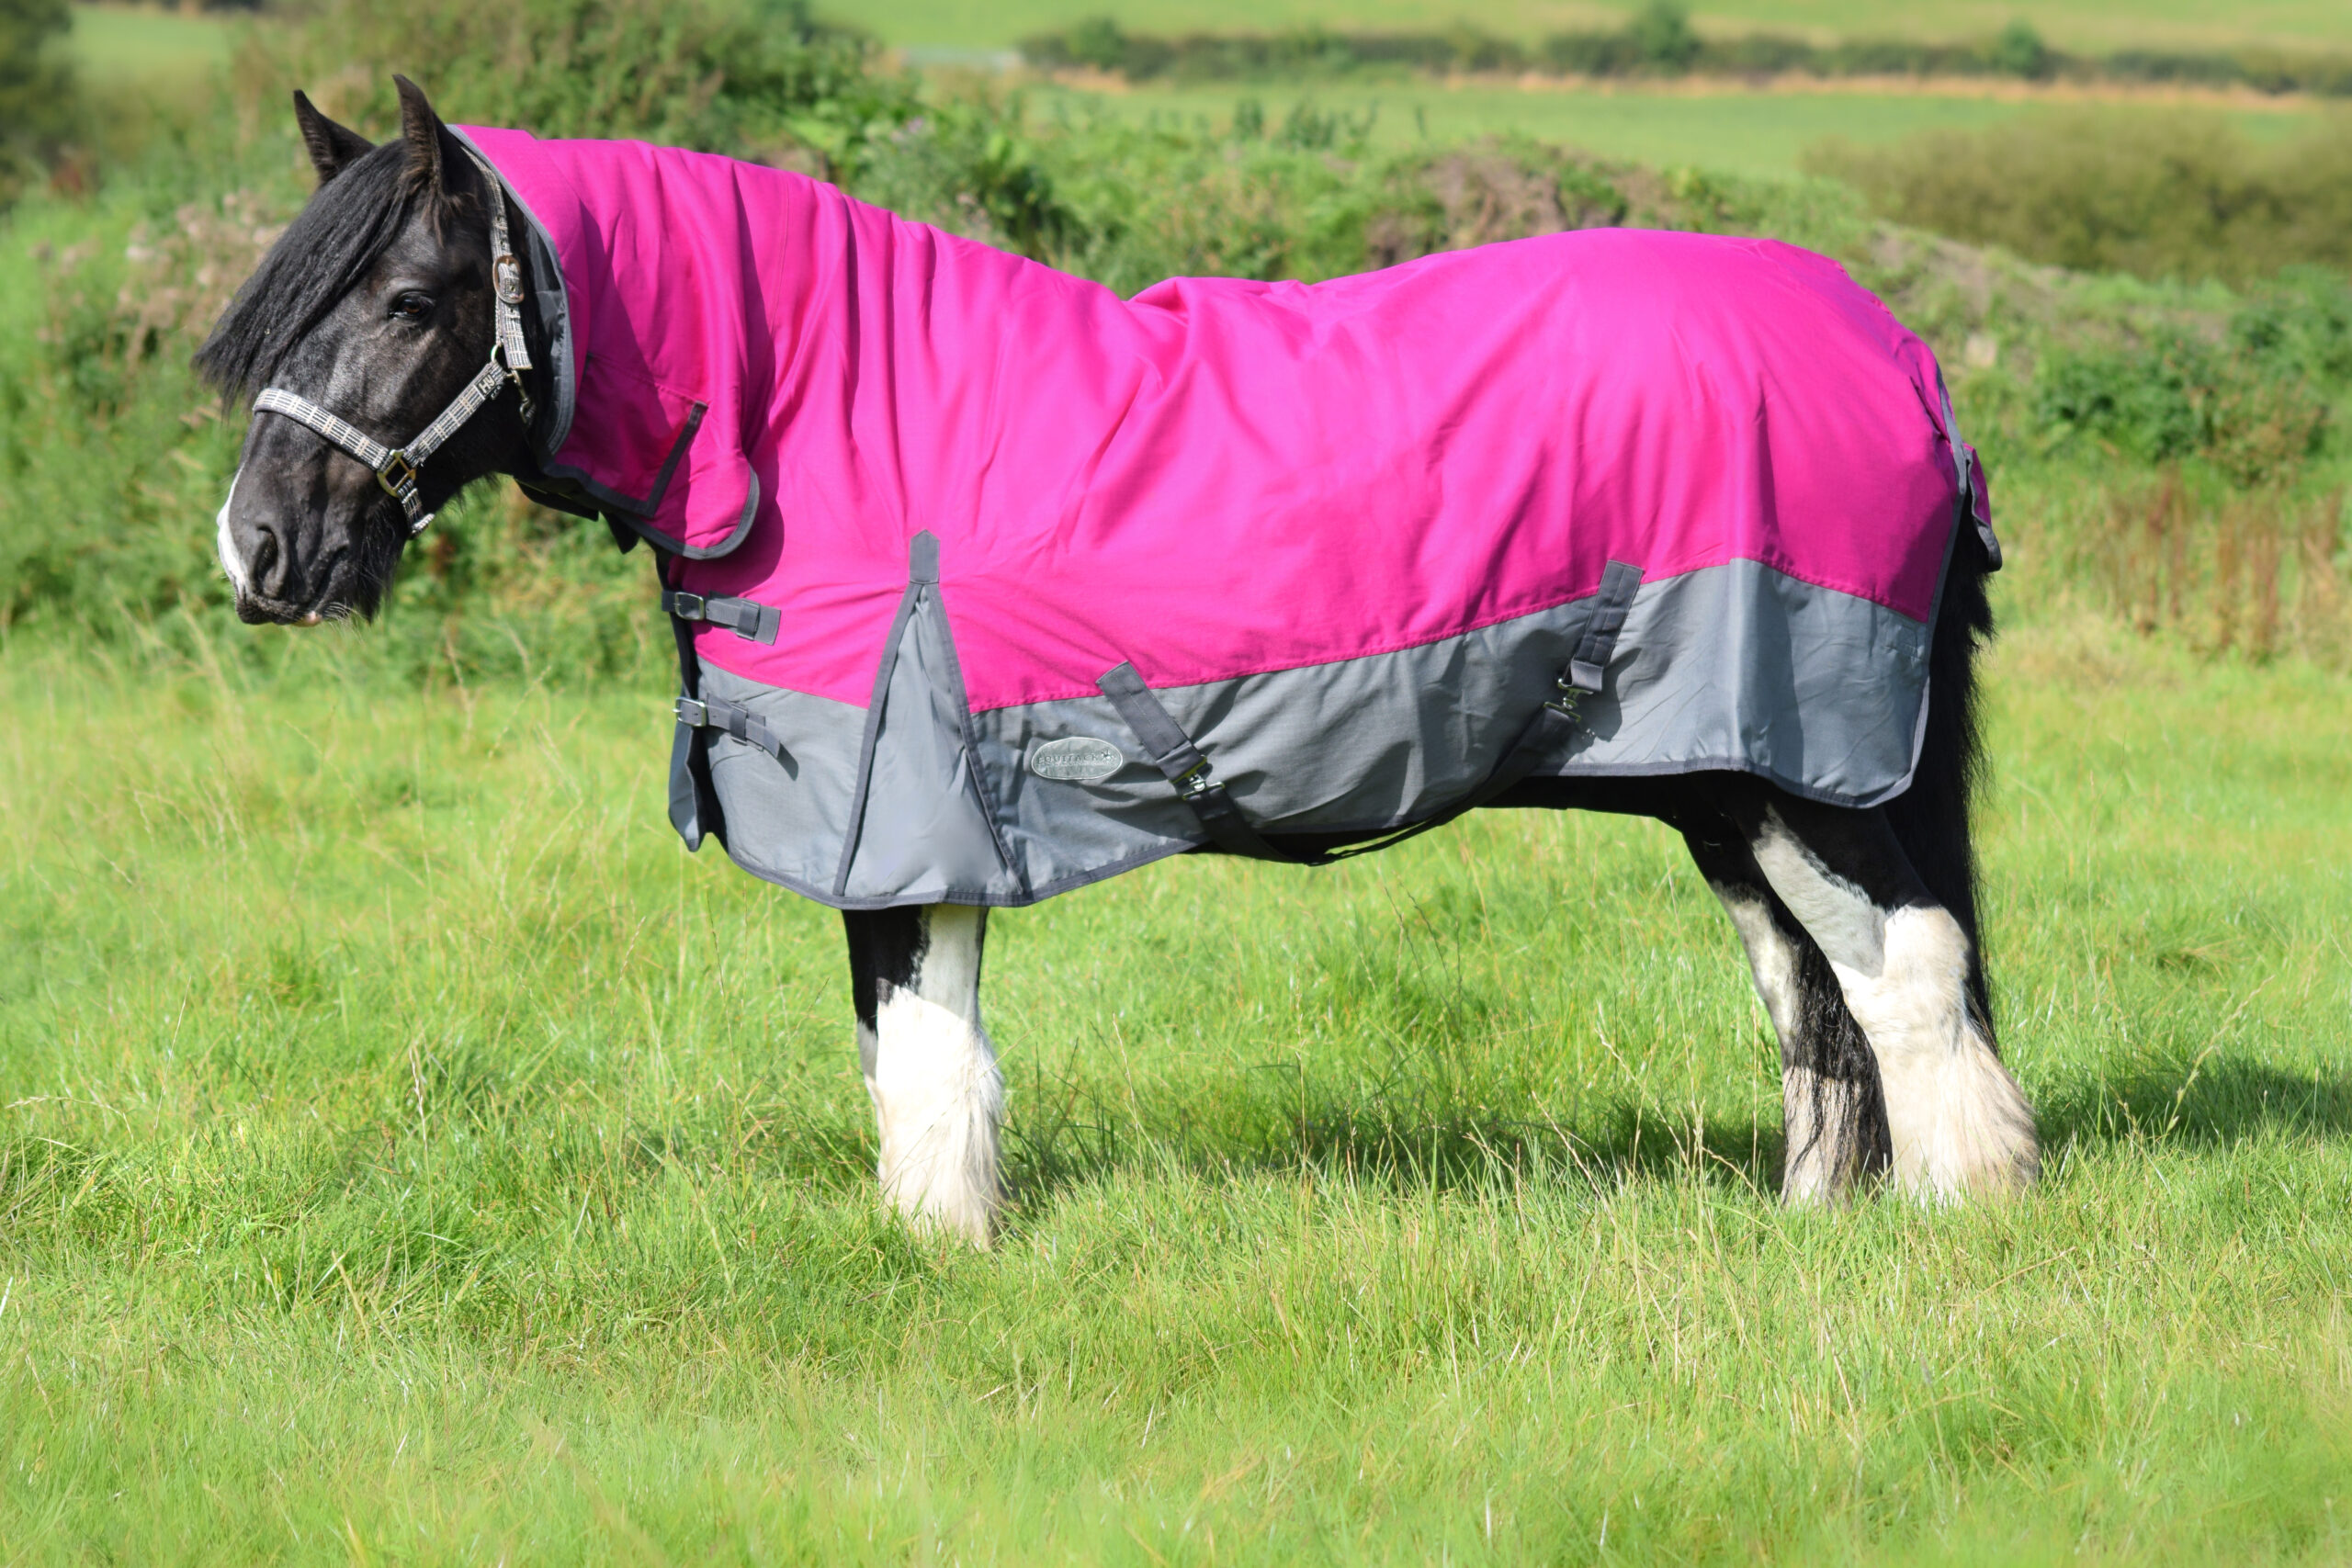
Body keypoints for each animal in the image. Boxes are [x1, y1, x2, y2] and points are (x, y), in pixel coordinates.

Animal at [196, 77, 2038, 1245]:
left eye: (414, 303)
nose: (259, 554)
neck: (829, 418)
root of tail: (1899, 352)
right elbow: (904, 1058)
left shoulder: (905, 811)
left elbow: (925, 1055)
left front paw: (939, 1255)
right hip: (1717, 776)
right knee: (1813, 998)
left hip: (1809, 763)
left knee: (1908, 974)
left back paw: (1965, 1222)